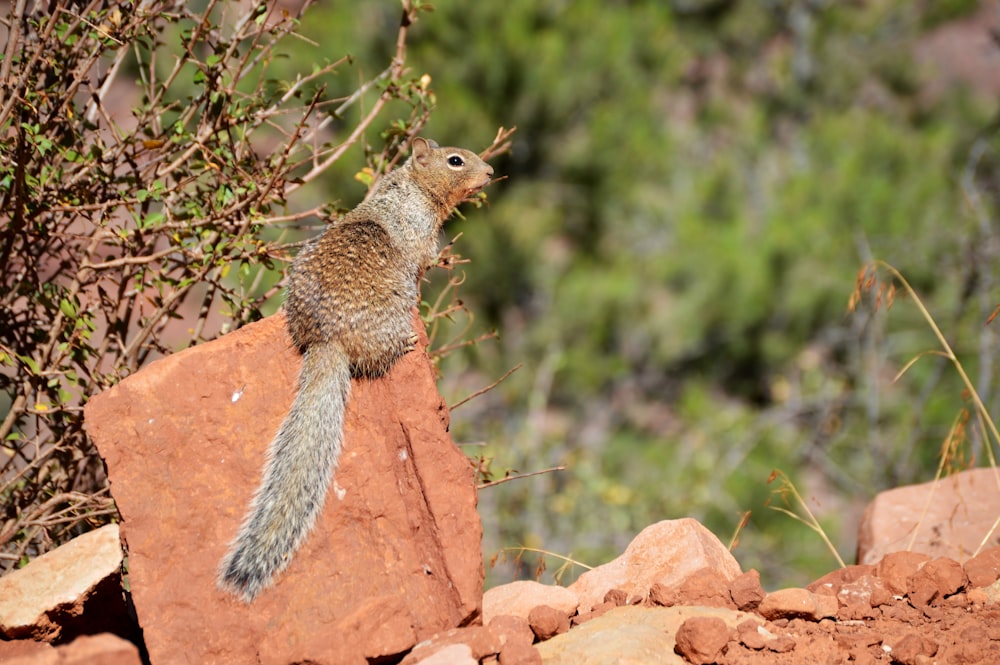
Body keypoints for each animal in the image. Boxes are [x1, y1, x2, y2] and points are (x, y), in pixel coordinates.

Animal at [218, 137, 492, 600]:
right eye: (455, 160)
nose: (490, 172)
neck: (411, 185)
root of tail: (326, 341)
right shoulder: (421, 239)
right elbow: (424, 260)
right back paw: (408, 342)